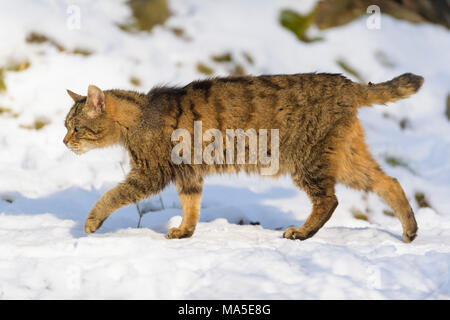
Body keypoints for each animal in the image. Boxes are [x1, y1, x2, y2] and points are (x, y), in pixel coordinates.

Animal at [63, 73, 422, 242]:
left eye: (76, 128)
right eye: (67, 127)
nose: (64, 141)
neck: (138, 117)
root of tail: (347, 83)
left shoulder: (151, 172)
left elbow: (113, 195)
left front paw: (91, 221)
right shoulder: (188, 174)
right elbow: (191, 206)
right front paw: (185, 231)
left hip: (308, 160)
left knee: (329, 200)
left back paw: (302, 232)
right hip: (346, 157)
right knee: (389, 181)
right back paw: (410, 230)